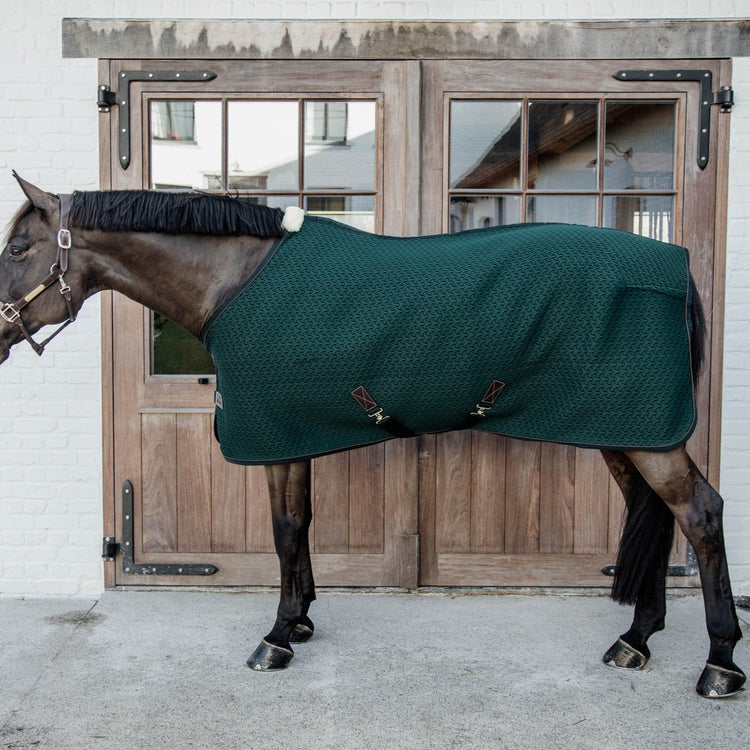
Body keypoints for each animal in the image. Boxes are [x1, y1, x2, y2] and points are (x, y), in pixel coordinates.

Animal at [0, 173, 745, 698]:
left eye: (17, 248)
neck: (233, 281)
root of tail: (673, 268)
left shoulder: (272, 435)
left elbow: (284, 529)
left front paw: (276, 638)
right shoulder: (292, 434)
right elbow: (301, 524)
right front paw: (301, 619)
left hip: (649, 435)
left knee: (700, 513)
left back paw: (719, 665)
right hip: (622, 427)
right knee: (654, 513)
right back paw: (636, 641)